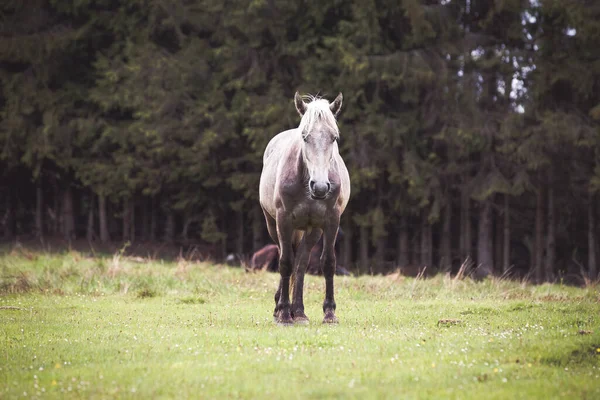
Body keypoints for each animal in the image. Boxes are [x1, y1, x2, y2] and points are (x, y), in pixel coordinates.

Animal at [258, 91, 352, 324]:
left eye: (334, 137)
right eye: (304, 136)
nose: (320, 187)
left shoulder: (331, 221)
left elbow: (327, 263)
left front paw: (329, 313)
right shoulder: (283, 221)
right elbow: (285, 262)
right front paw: (283, 313)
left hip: (312, 230)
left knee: (301, 263)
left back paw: (299, 311)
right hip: (274, 226)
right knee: (287, 257)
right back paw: (283, 309)